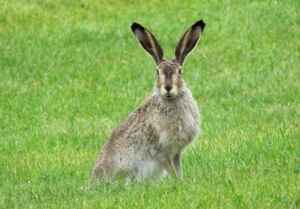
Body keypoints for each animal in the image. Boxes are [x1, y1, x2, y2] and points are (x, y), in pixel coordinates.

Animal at [90, 19, 205, 183]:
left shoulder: (176, 152)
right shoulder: (162, 151)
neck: (170, 100)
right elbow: (171, 168)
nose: (168, 88)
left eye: (180, 71)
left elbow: (177, 169)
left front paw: (181, 181)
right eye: (157, 72)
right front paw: (177, 182)